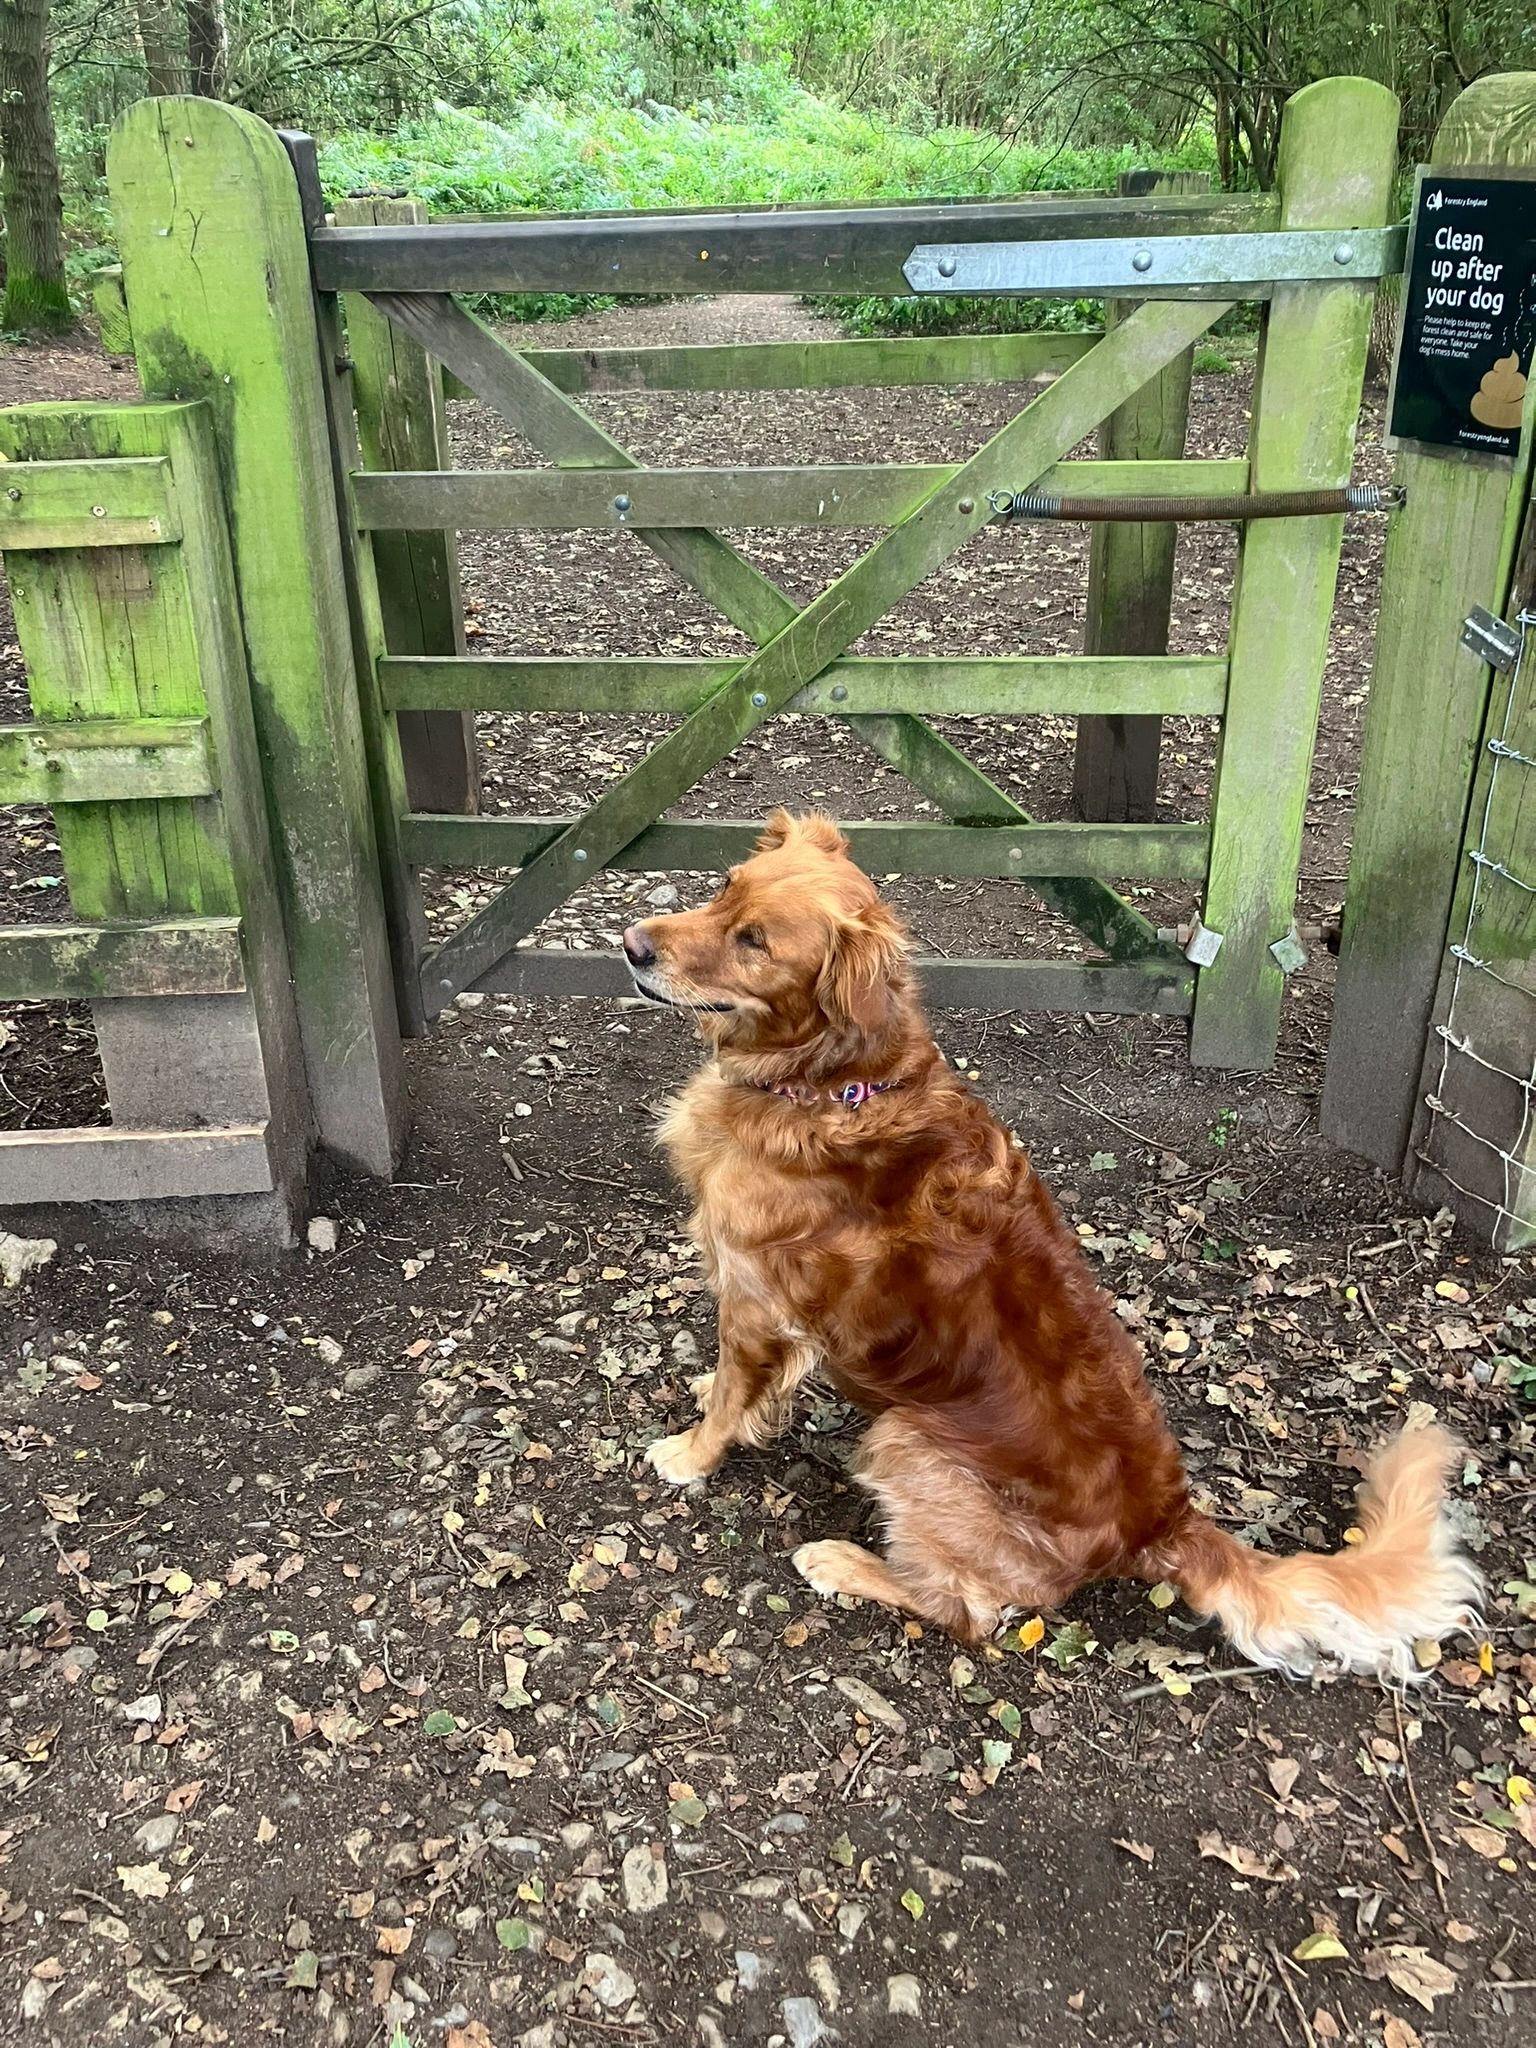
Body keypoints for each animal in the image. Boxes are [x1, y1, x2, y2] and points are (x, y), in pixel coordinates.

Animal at [618, 802, 1482, 1679]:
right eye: (725, 888)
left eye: (755, 941)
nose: (631, 944)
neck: (836, 1087)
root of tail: (1163, 1521)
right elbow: (741, 1384)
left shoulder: (755, 1298)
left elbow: (735, 1392)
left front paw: (692, 1452)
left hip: (904, 1437)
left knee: (968, 1614)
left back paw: (841, 1562)